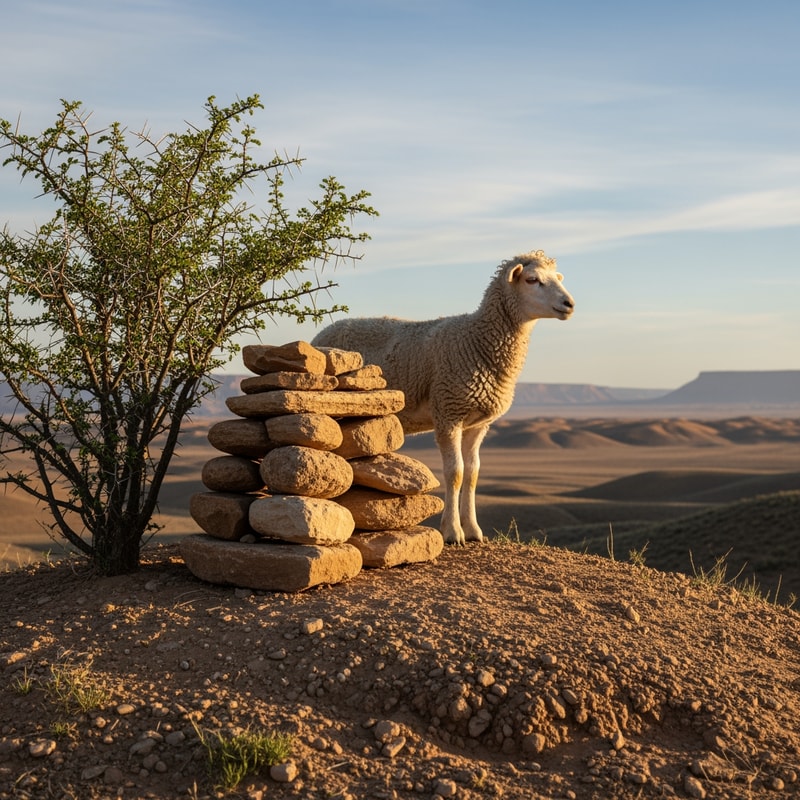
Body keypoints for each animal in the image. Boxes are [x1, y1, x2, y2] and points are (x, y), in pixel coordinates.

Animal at [312, 250, 575, 545]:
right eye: (532, 280)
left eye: (558, 278)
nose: (569, 304)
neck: (477, 339)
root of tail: (320, 334)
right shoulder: (448, 412)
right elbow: (455, 473)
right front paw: (452, 532)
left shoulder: (478, 424)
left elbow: (472, 473)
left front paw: (473, 531)